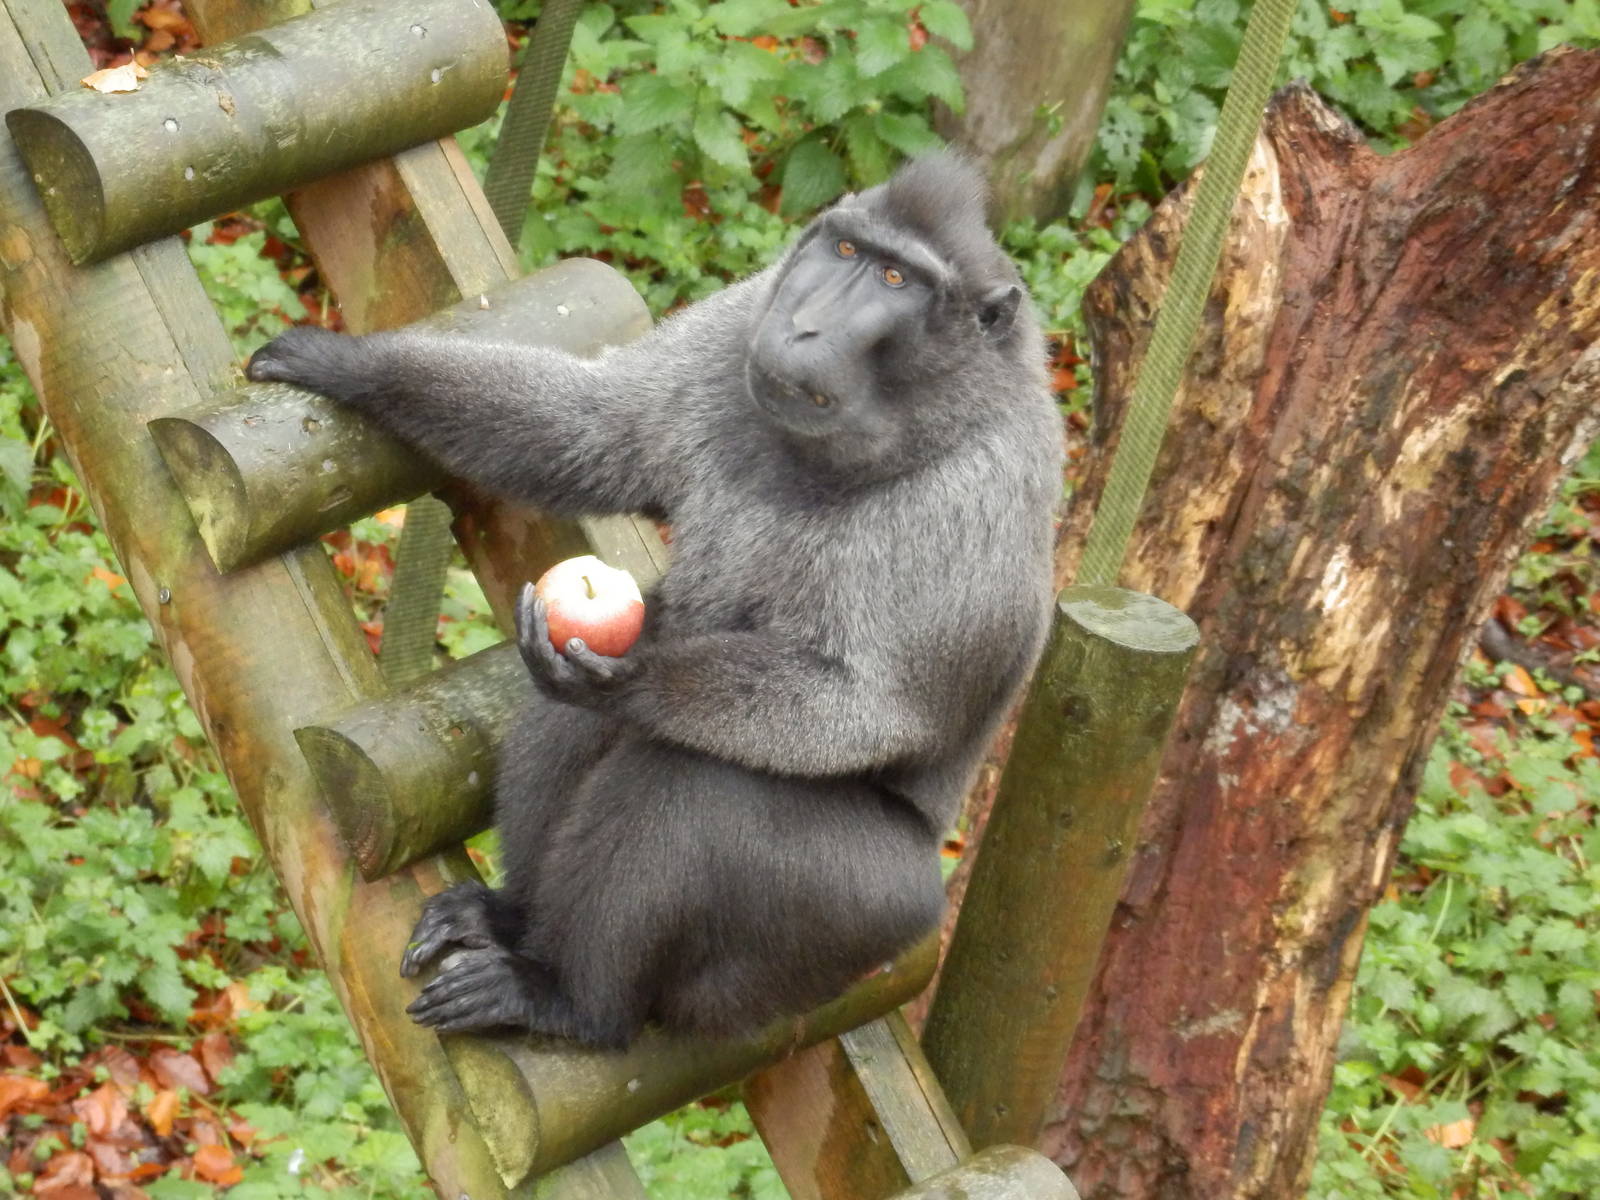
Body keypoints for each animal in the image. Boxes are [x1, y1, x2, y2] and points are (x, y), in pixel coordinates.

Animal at [246, 154, 1063, 1049]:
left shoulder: (971, 497)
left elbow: (877, 708)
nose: (805, 325)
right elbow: (596, 427)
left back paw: (571, 998)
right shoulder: (742, 317)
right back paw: (513, 921)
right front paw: (351, 366)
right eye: (848, 250)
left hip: (855, 925)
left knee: (692, 782)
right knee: (575, 720)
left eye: (895, 279)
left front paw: (637, 678)